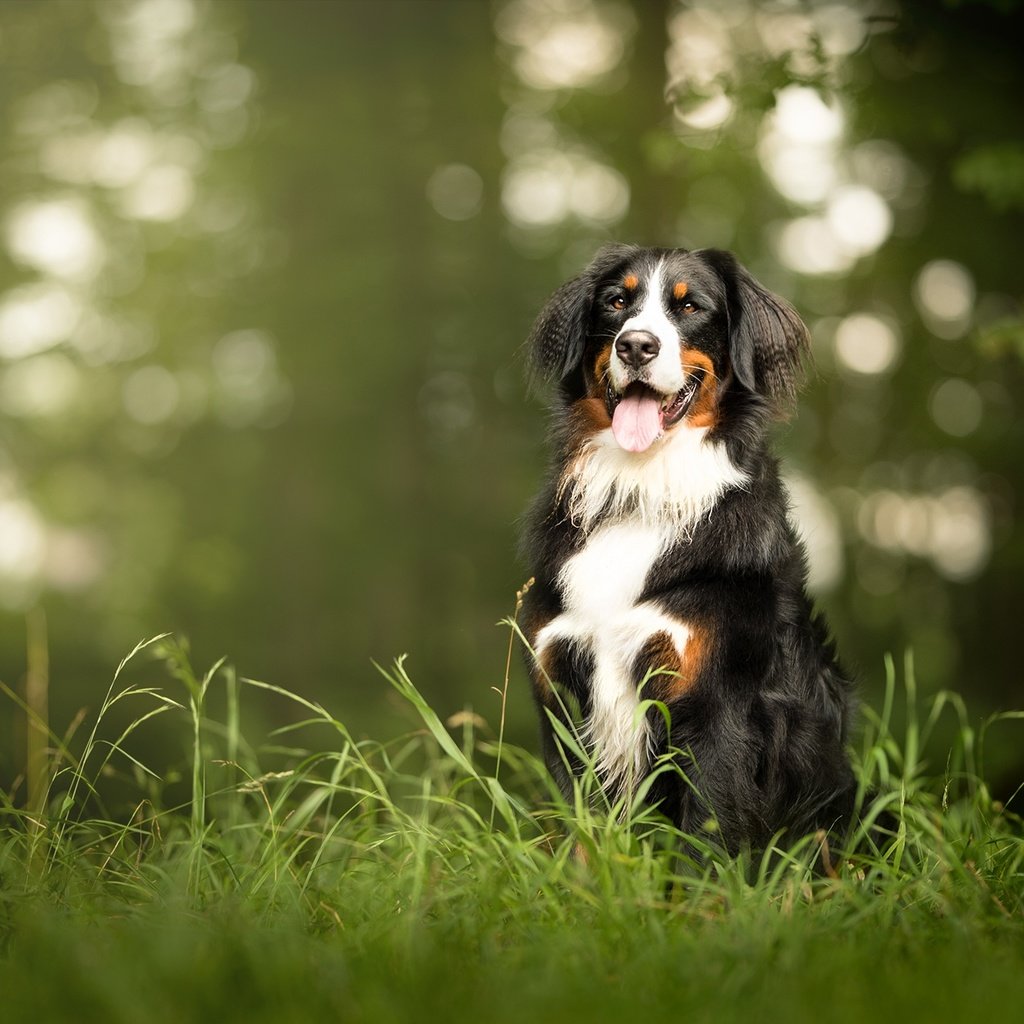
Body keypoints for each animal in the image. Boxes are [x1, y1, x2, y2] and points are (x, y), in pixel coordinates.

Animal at [520, 243, 856, 851]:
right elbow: (580, 838)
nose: (636, 344)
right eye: (617, 302)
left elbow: (703, 840)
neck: (642, 487)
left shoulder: (715, 705)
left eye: (691, 306)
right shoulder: (560, 689)